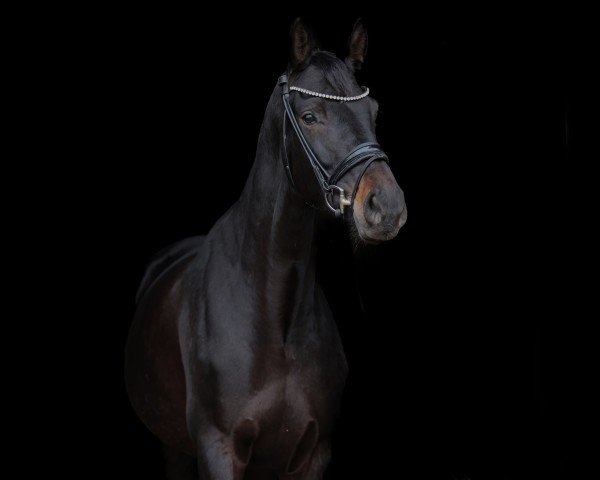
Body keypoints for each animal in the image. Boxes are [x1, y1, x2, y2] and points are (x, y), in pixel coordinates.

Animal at [126, 16, 408, 478]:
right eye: (310, 116)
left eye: (375, 112)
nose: (387, 207)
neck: (275, 316)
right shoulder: (218, 449)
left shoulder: (312, 454)